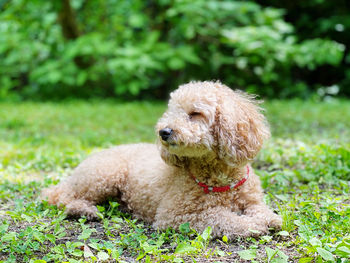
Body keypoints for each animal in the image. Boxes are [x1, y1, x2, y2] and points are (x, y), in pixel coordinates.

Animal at [41, 81, 282, 239]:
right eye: (171, 111)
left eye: (195, 114)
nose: (164, 132)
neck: (219, 175)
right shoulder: (175, 215)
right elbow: (222, 217)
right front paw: (251, 225)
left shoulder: (252, 200)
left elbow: (263, 211)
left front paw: (269, 219)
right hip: (101, 176)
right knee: (59, 196)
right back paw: (85, 210)